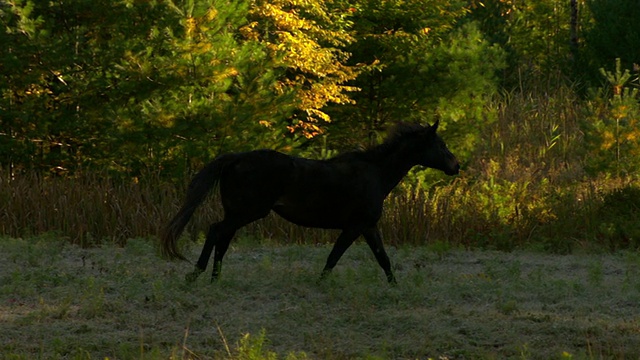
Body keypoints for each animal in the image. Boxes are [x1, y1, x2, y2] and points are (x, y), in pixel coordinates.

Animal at [162, 121, 458, 284]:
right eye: (441, 145)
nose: (456, 166)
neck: (375, 173)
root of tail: (236, 158)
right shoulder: (355, 226)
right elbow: (334, 256)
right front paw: (320, 283)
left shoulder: (368, 226)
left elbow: (383, 259)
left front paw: (395, 286)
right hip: (246, 212)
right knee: (215, 232)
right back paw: (196, 275)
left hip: (237, 212)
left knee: (222, 239)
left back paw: (215, 279)